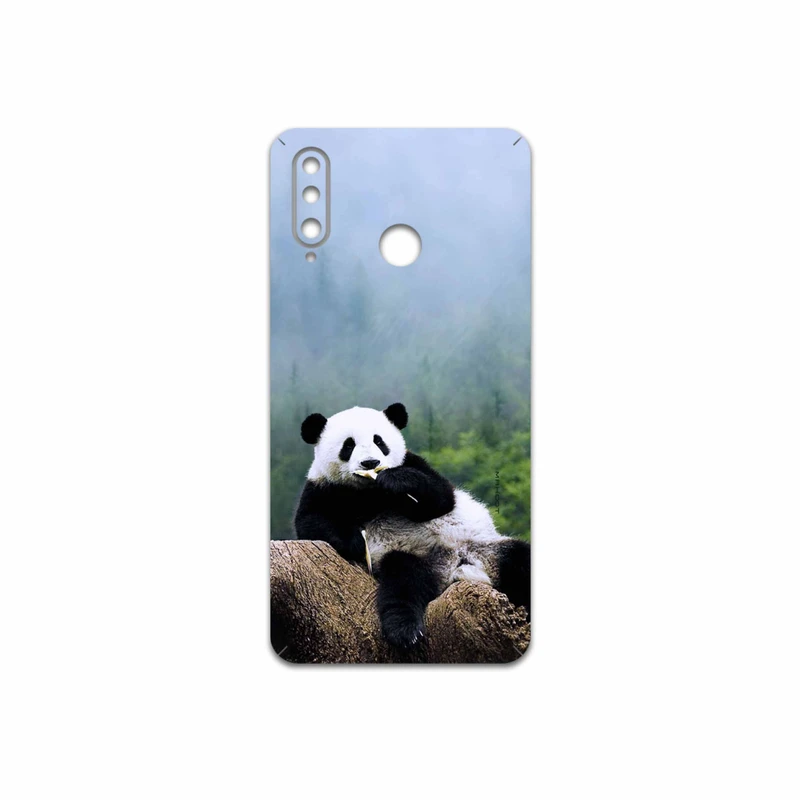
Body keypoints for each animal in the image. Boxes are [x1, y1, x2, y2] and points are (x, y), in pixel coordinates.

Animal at [294, 402, 530, 649]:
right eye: (348, 445)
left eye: (379, 441)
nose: (370, 463)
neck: (369, 492)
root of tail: (456, 566)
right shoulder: (323, 487)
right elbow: (310, 521)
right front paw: (356, 542)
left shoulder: (414, 463)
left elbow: (441, 498)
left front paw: (396, 481)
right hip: (413, 558)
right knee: (404, 582)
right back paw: (405, 631)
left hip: (486, 548)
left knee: (520, 560)